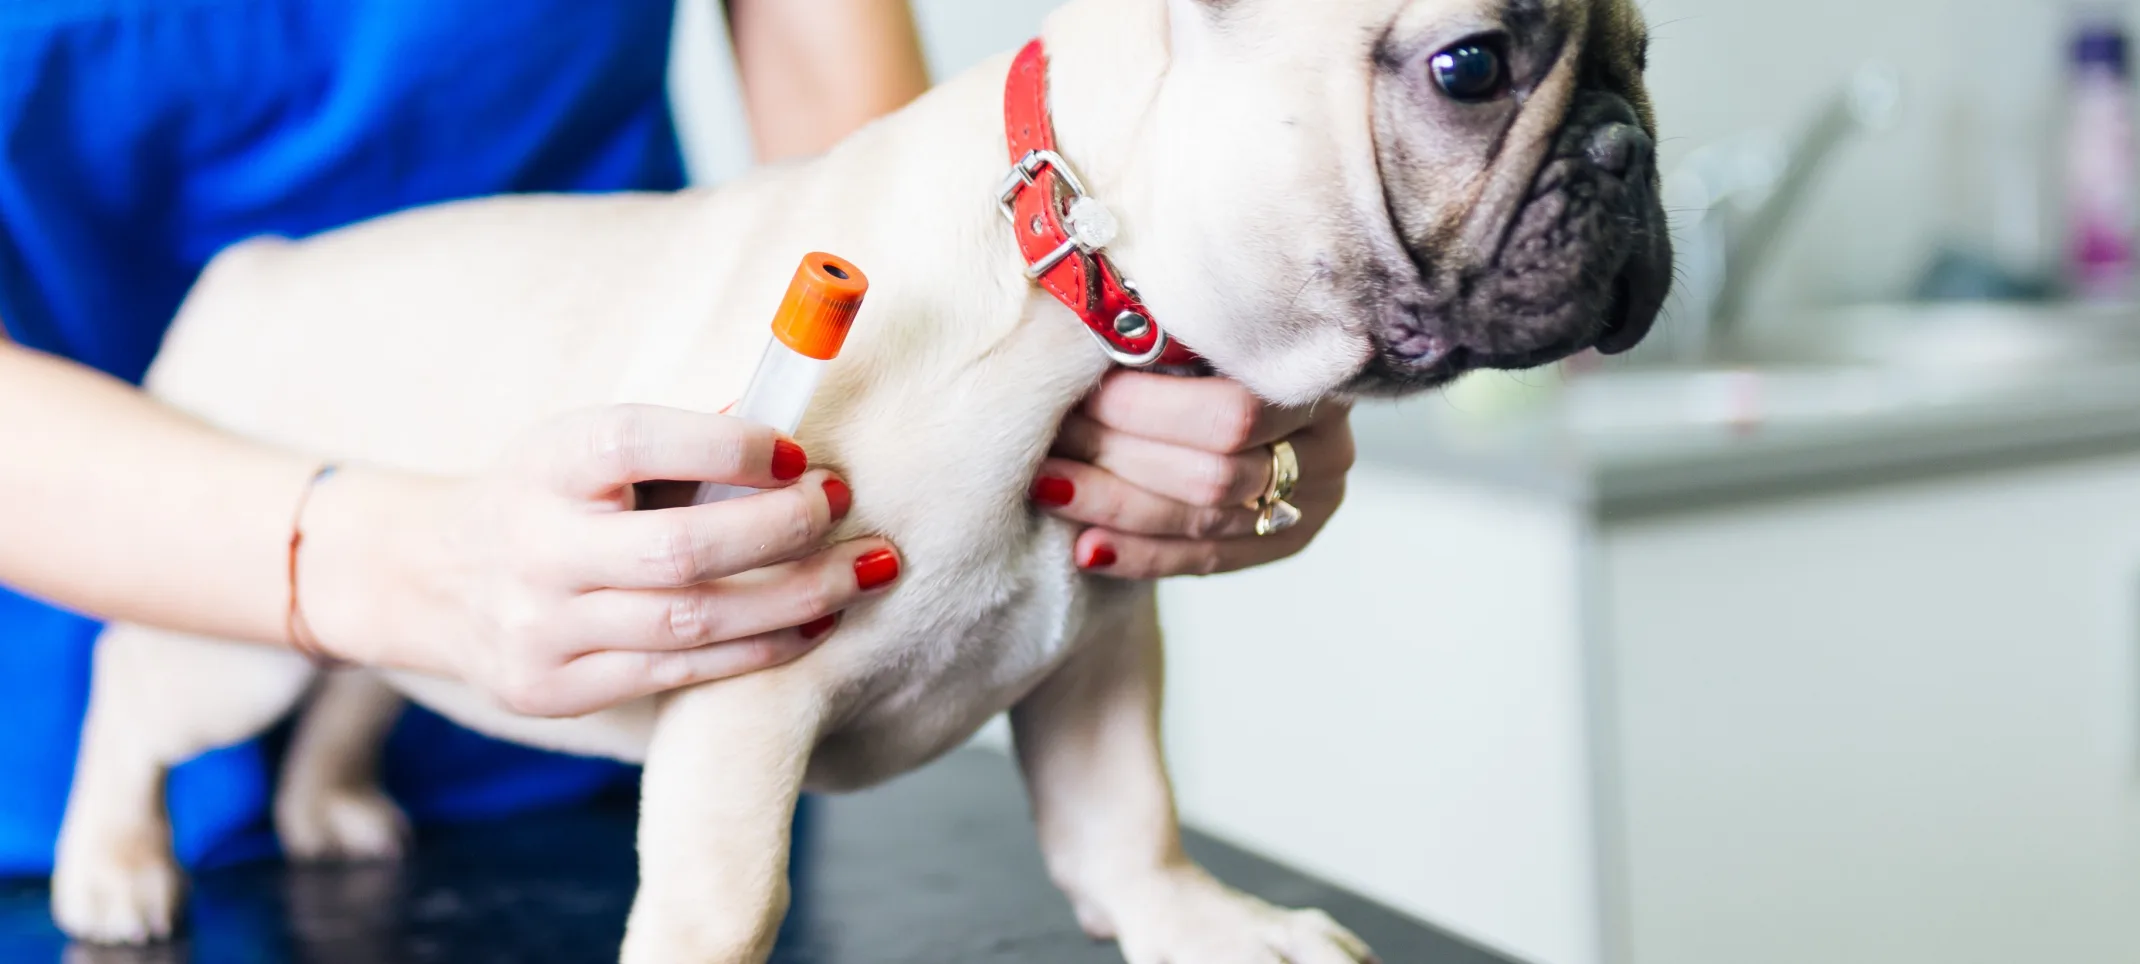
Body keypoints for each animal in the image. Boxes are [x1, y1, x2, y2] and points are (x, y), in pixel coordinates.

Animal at [46, 1, 1652, 964]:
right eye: (1469, 66)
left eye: (1644, 52)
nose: (1631, 151)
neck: (1074, 263)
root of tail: (259, 268)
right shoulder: (746, 684)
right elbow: (726, 898)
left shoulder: (1103, 644)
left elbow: (1127, 813)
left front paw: (1204, 923)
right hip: (235, 651)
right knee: (141, 698)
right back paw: (111, 868)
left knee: (360, 680)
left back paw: (329, 810)